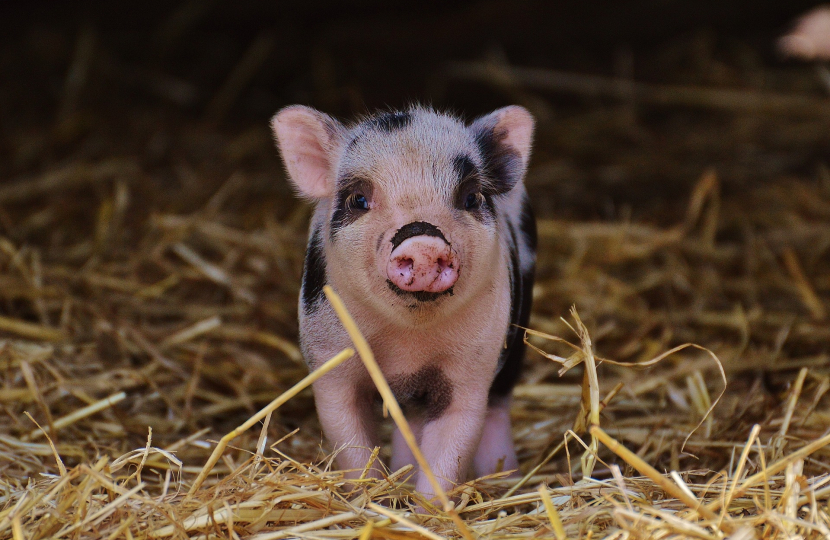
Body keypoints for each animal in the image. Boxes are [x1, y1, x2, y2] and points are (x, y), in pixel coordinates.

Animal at [270, 104, 536, 500]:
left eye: (471, 198)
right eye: (358, 200)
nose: (423, 241)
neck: (407, 346)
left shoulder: (471, 370)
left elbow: (450, 449)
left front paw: (428, 508)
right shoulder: (330, 361)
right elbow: (351, 444)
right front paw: (370, 498)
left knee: (497, 407)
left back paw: (504, 480)